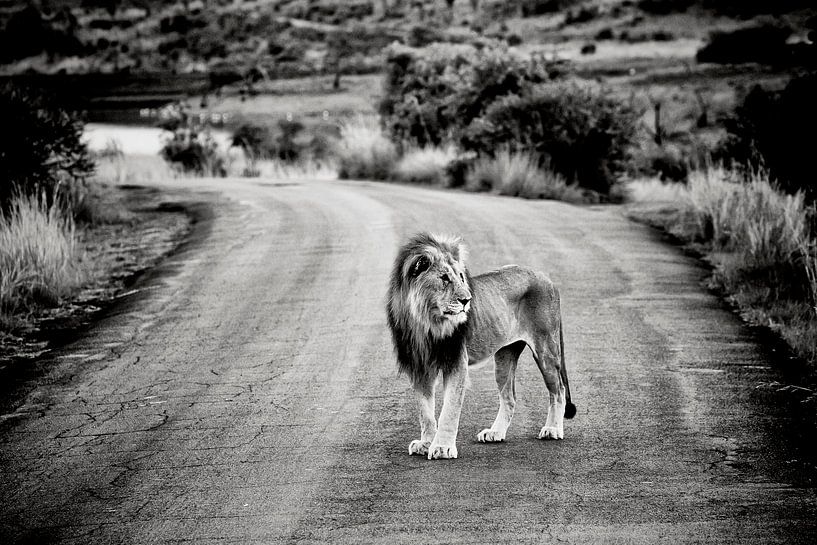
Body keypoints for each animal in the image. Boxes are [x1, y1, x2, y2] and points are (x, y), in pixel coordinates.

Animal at [388, 231, 572, 460]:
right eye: (444, 278)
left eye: (461, 277)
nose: (467, 300)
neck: (425, 322)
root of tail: (547, 278)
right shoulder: (419, 367)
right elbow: (425, 411)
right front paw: (425, 443)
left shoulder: (457, 361)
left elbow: (449, 409)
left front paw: (442, 447)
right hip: (505, 356)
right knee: (509, 397)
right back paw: (495, 433)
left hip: (546, 348)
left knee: (558, 389)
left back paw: (553, 429)